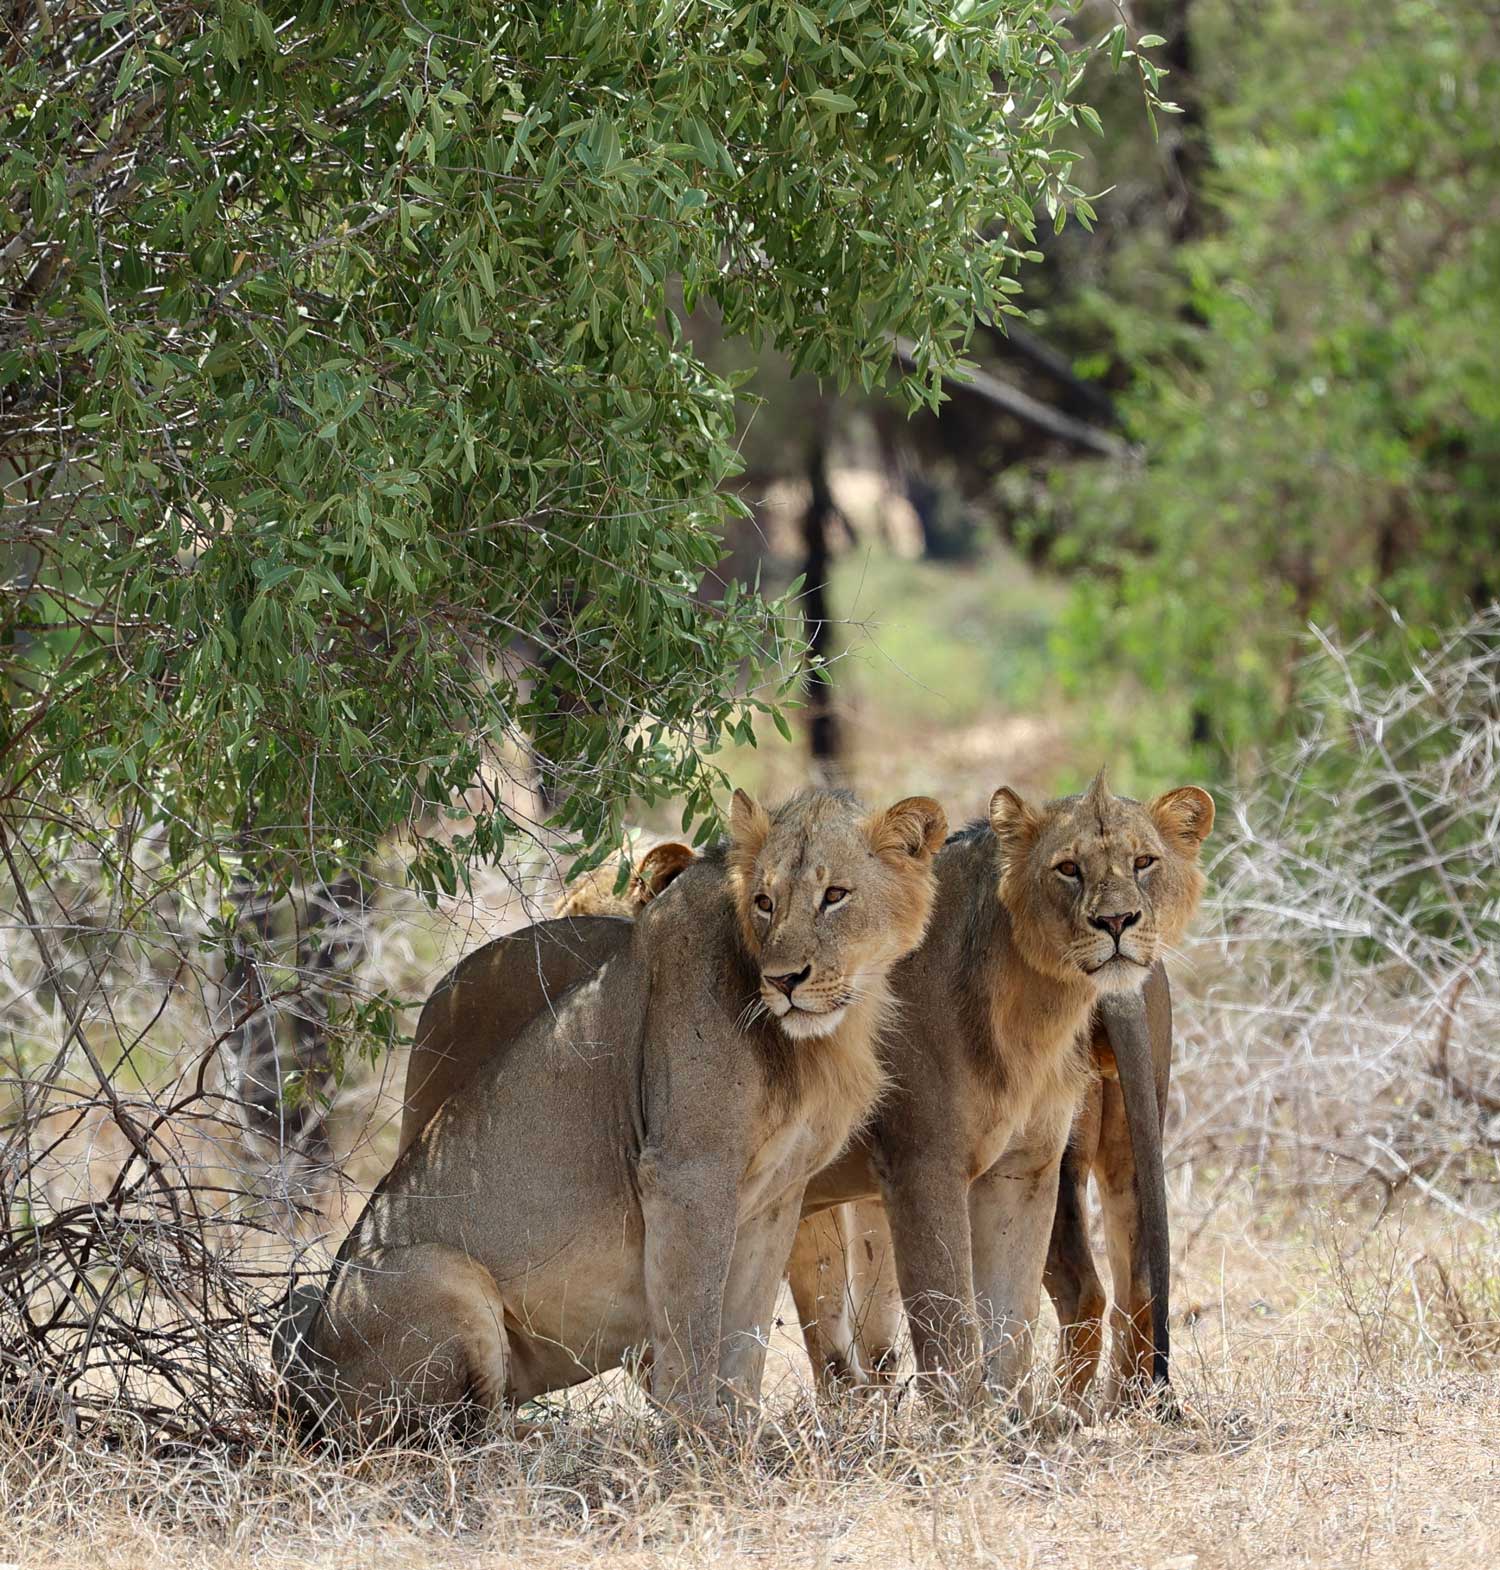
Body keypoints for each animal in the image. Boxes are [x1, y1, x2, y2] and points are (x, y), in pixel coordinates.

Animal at [278, 787, 946, 1434]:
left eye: (835, 896)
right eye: (765, 901)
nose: (785, 980)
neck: (818, 1039)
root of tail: (299, 1391)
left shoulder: (779, 1196)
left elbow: (747, 1332)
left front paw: (744, 1429)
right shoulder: (685, 1173)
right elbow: (692, 1319)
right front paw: (698, 1433)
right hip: (443, 1275)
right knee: (446, 1435)